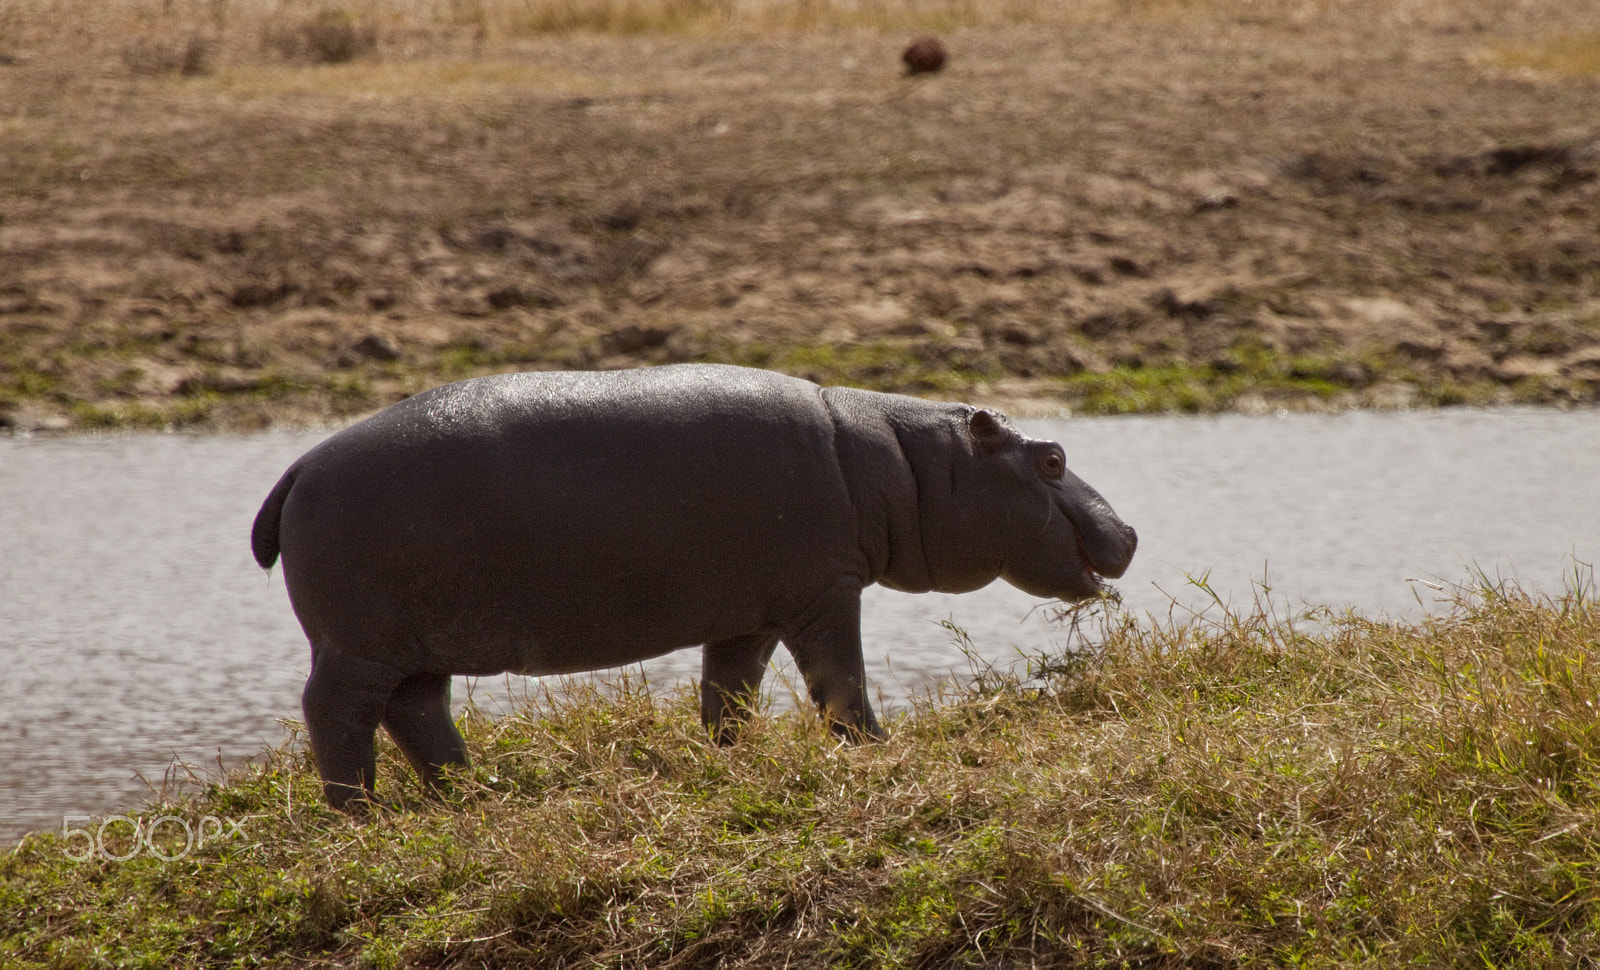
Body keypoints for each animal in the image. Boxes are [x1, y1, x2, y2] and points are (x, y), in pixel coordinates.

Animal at [252, 364, 1136, 808]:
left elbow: (729, 694)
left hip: (411, 646)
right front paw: (878, 747)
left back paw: (478, 790)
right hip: (357, 645)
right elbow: (840, 681)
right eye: (1051, 458)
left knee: (418, 714)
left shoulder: (751, 611)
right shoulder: (825, 593)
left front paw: (731, 758)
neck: (909, 462)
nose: (1129, 533)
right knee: (337, 714)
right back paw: (358, 812)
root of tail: (294, 470)